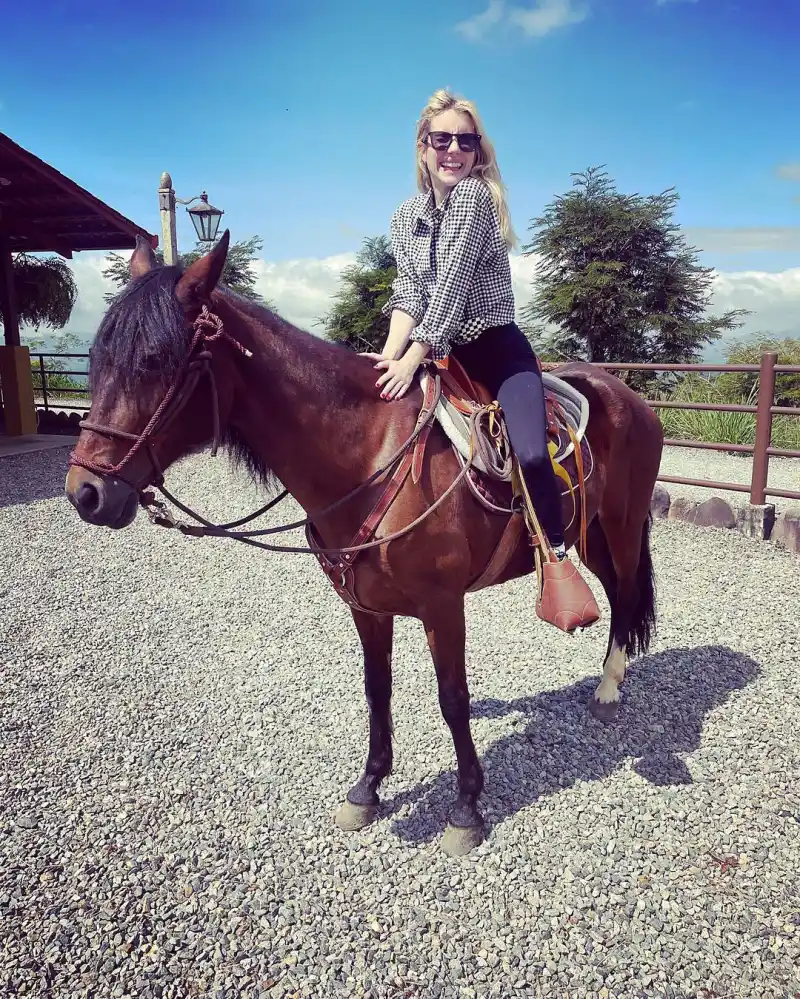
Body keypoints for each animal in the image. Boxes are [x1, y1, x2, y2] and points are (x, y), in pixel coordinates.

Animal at [65, 231, 664, 856]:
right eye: (99, 360)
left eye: (154, 360)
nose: (85, 492)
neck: (370, 456)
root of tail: (628, 396)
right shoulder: (365, 606)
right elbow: (378, 689)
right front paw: (368, 788)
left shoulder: (443, 606)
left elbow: (453, 699)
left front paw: (466, 808)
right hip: (589, 534)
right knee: (617, 591)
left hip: (621, 527)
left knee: (625, 594)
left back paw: (609, 689)